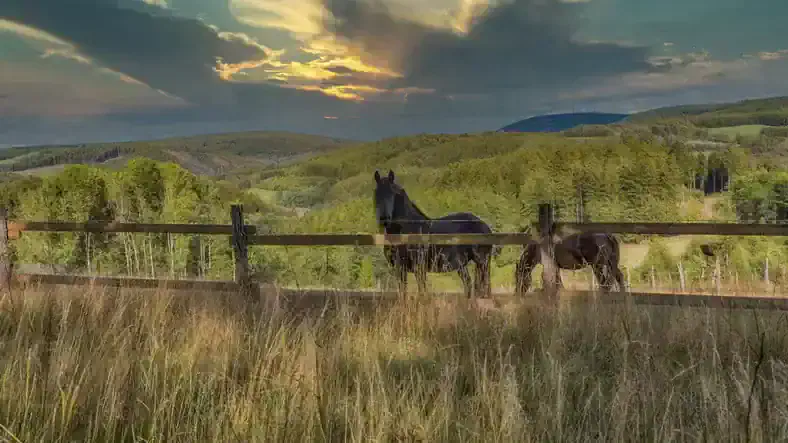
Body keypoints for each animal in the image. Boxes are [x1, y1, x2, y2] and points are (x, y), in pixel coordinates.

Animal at [373, 169, 497, 298]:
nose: (384, 219)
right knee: (470, 284)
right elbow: (403, 293)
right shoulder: (400, 269)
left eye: (393, 194)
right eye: (376, 194)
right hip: (465, 265)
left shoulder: (419, 268)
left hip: (481, 263)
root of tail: (485, 226)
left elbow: (422, 291)